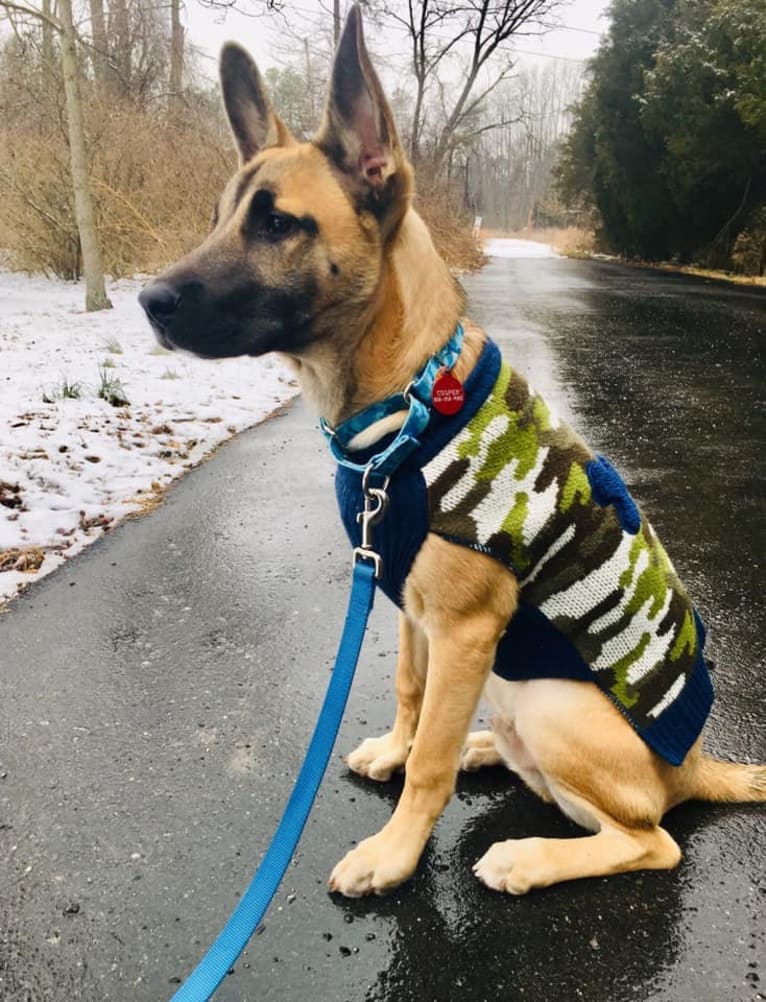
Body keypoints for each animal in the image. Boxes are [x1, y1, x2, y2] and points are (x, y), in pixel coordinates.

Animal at [139, 5, 766, 901]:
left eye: (277, 223)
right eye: (221, 216)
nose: (148, 302)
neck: (406, 402)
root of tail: (697, 766)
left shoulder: (466, 630)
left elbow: (429, 763)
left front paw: (396, 851)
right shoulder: (410, 605)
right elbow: (412, 695)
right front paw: (398, 753)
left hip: (548, 699)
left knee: (651, 841)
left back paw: (528, 853)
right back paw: (485, 747)